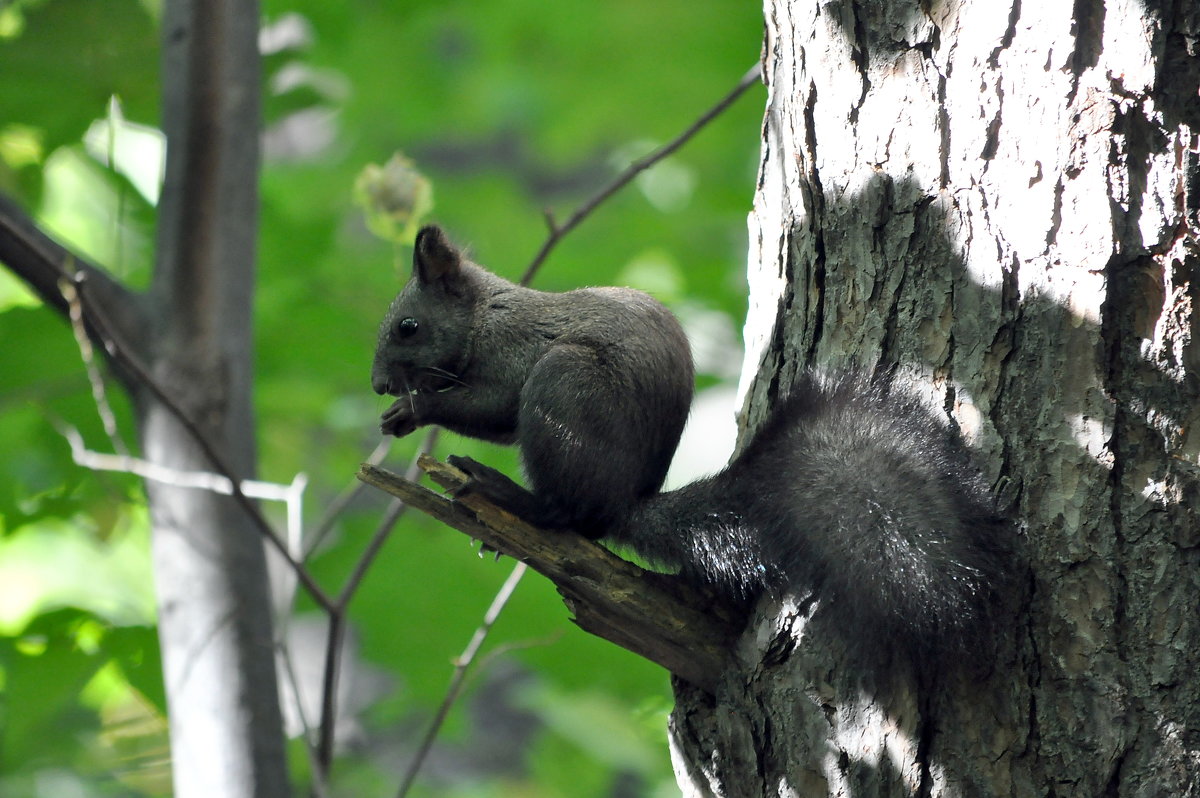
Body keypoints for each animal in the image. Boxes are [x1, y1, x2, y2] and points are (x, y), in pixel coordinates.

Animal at [369, 224, 1017, 652]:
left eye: (408, 326)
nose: (378, 384)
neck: (485, 313)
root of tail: (624, 501)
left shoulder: (514, 355)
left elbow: (492, 406)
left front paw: (416, 408)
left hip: (566, 384)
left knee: (569, 514)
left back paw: (505, 494)